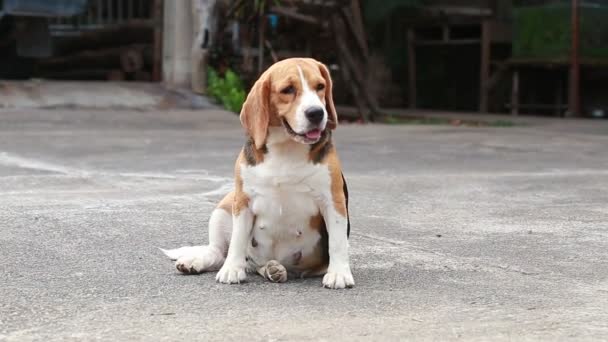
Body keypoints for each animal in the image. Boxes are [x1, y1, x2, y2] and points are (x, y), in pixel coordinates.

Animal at [162, 58, 354, 288]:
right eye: (288, 90)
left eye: (320, 86)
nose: (317, 113)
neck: (286, 147)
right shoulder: (243, 201)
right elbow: (237, 240)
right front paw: (232, 269)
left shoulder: (333, 201)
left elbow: (337, 242)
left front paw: (339, 273)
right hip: (225, 205)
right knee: (218, 252)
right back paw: (198, 261)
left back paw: (273, 269)